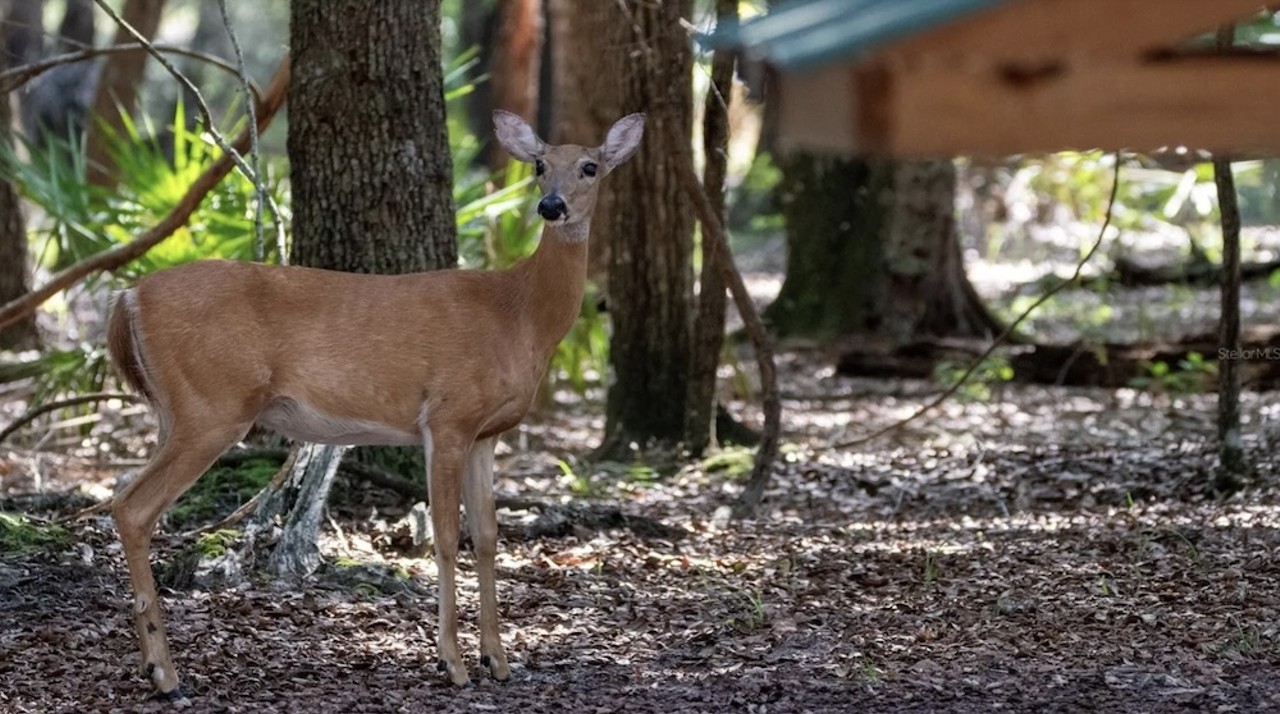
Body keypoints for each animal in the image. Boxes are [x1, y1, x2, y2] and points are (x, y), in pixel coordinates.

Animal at [104, 110, 645, 701]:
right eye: (540, 165)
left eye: (590, 166)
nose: (552, 206)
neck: (519, 315)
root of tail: (128, 296)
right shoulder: (448, 415)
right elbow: (446, 537)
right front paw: (452, 663)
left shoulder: (486, 433)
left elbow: (487, 536)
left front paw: (498, 660)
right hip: (212, 404)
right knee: (132, 507)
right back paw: (166, 675)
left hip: (174, 409)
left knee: (128, 499)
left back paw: (153, 665)